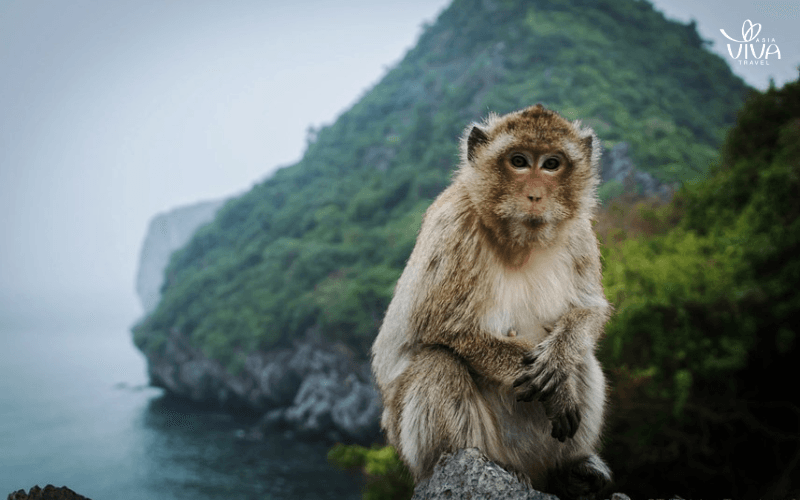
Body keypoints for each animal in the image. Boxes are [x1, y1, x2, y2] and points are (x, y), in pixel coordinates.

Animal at [370, 103, 612, 498]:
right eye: (518, 161)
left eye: (551, 164)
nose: (535, 195)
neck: (520, 244)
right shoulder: (454, 227)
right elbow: (442, 329)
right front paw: (557, 393)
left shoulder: (579, 231)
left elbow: (588, 310)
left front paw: (558, 363)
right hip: (425, 450)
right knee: (438, 363)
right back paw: (470, 463)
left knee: (583, 355)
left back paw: (570, 471)